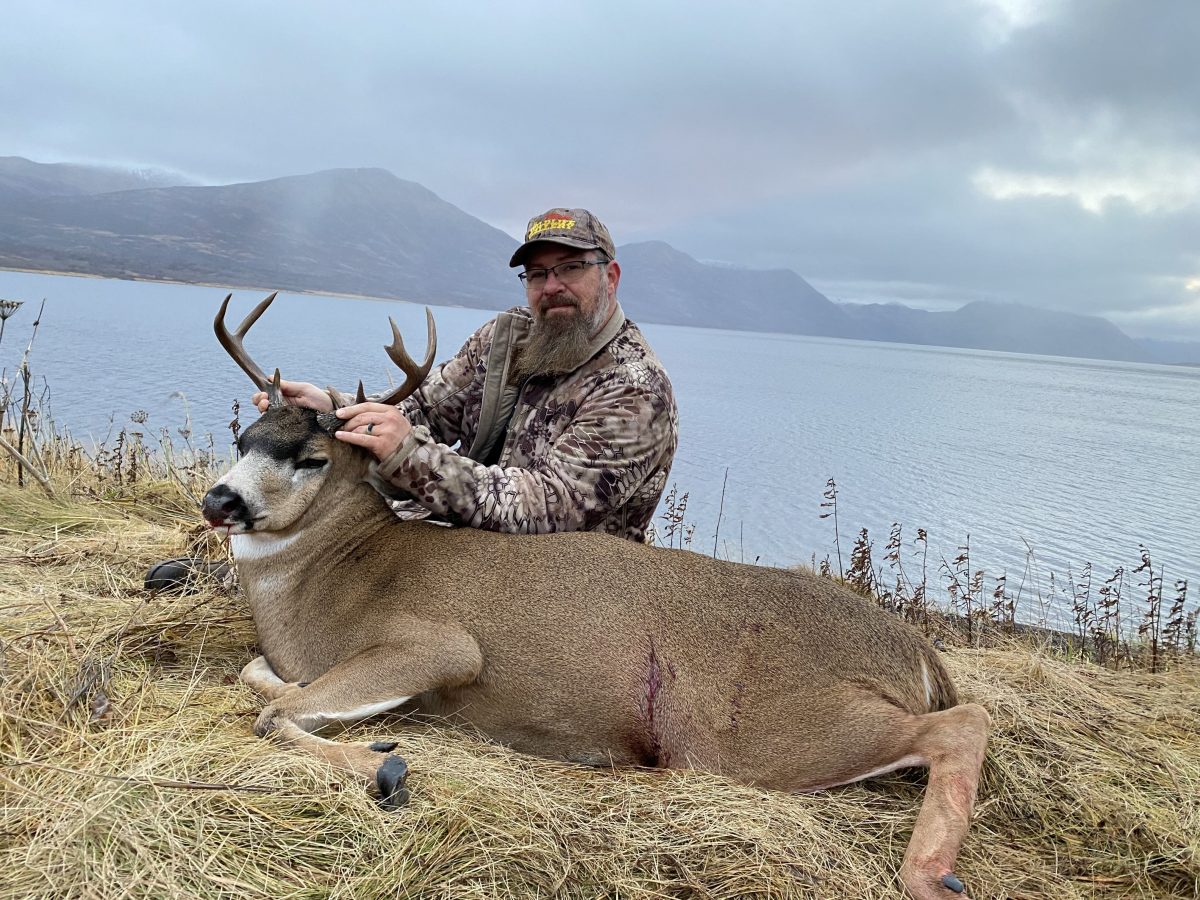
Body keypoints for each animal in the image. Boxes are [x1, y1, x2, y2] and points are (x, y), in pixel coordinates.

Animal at [203, 292, 991, 900]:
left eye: (313, 458)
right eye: (244, 436)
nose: (221, 500)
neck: (336, 579)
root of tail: (917, 648)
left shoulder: (441, 643)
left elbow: (272, 714)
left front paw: (386, 767)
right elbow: (259, 676)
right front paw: (373, 735)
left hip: (759, 730)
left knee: (965, 722)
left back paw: (928, 875)